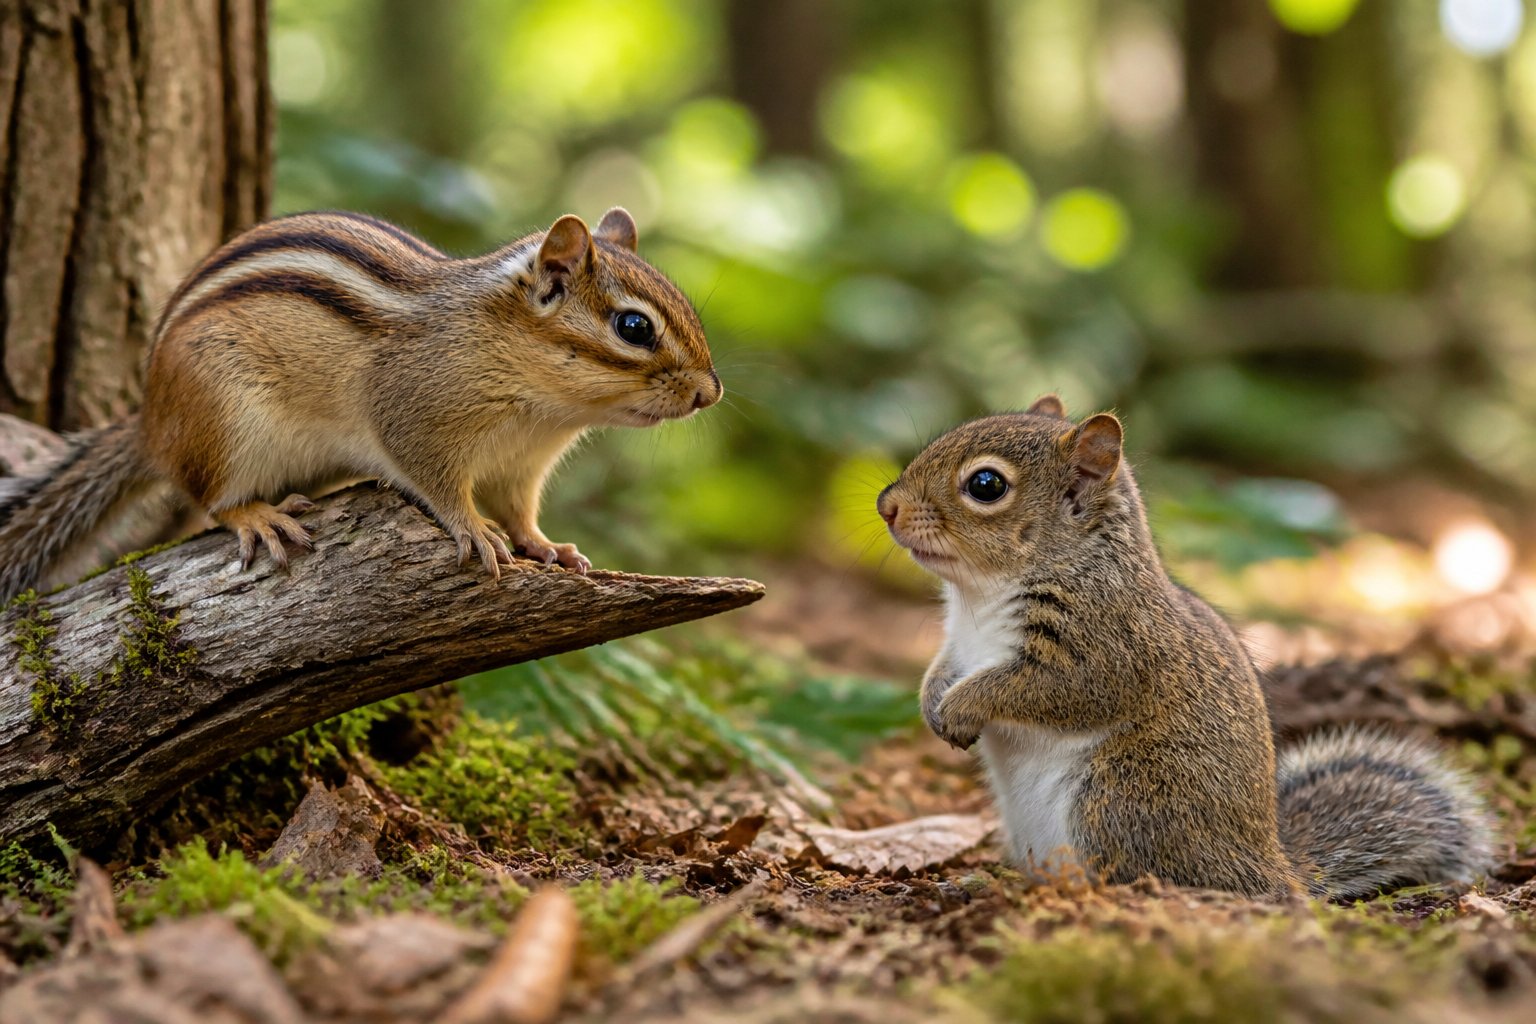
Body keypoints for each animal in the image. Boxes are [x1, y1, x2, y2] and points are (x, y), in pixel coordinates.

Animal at [0, 207, 721, 600]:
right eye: (634, 328)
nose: (710, 393)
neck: (543, 406)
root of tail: (150, 421)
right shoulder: (414, 418)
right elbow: (438, 484)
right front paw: (473, 528)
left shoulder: (521, 468)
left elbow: (521, 512)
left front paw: (548, 547)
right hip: (227, 424)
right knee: (212, 498)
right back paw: (257, 516)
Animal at [877, 396, 1496, 899]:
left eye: (986, 485)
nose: (886, 506)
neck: (983, 595)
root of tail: (1265, 867)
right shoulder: (960, 642)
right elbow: (943, 669)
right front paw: (934, 703)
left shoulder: (1109, 645)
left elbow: (1056, 689)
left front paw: (963, 706)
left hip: (1122, 795)